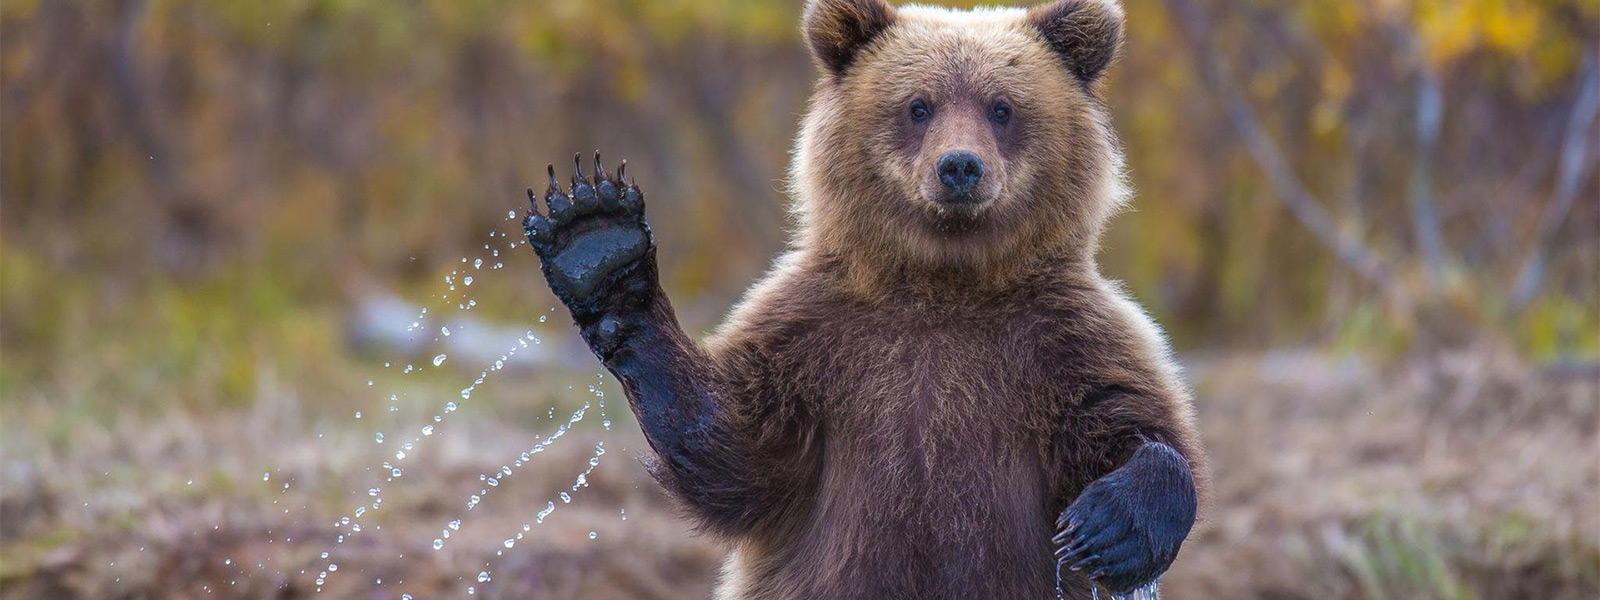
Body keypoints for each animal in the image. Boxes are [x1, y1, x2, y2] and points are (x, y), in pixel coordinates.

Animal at [518, 2, 1203, 598]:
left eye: (1002, 107)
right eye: (919, 105)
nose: (960, 167)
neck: (943, 284)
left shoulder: (1062, 340)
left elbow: (1137, 423)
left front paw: (1109, 527)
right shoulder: (817, 340)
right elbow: (733, 450)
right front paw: (597, 240)